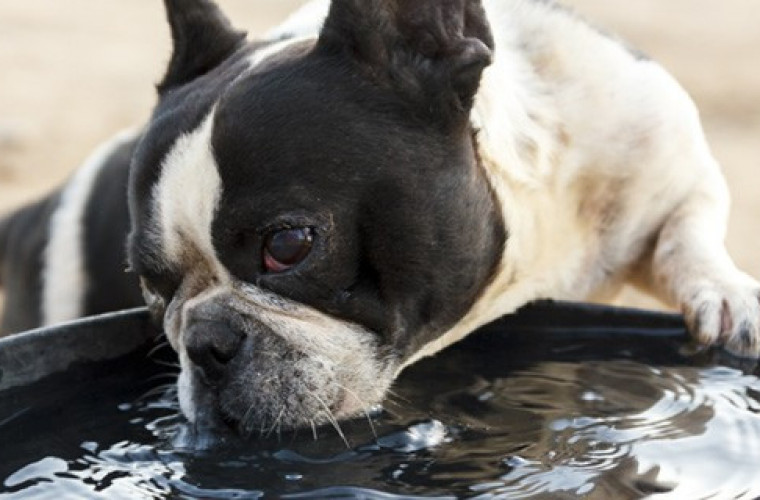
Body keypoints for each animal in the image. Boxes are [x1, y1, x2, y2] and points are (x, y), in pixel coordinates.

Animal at [1, 0, 760, 436]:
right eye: (150, 285)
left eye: (288, 245)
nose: (205, 343)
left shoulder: (664, 159)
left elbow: (688, 227)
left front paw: (727, 294)